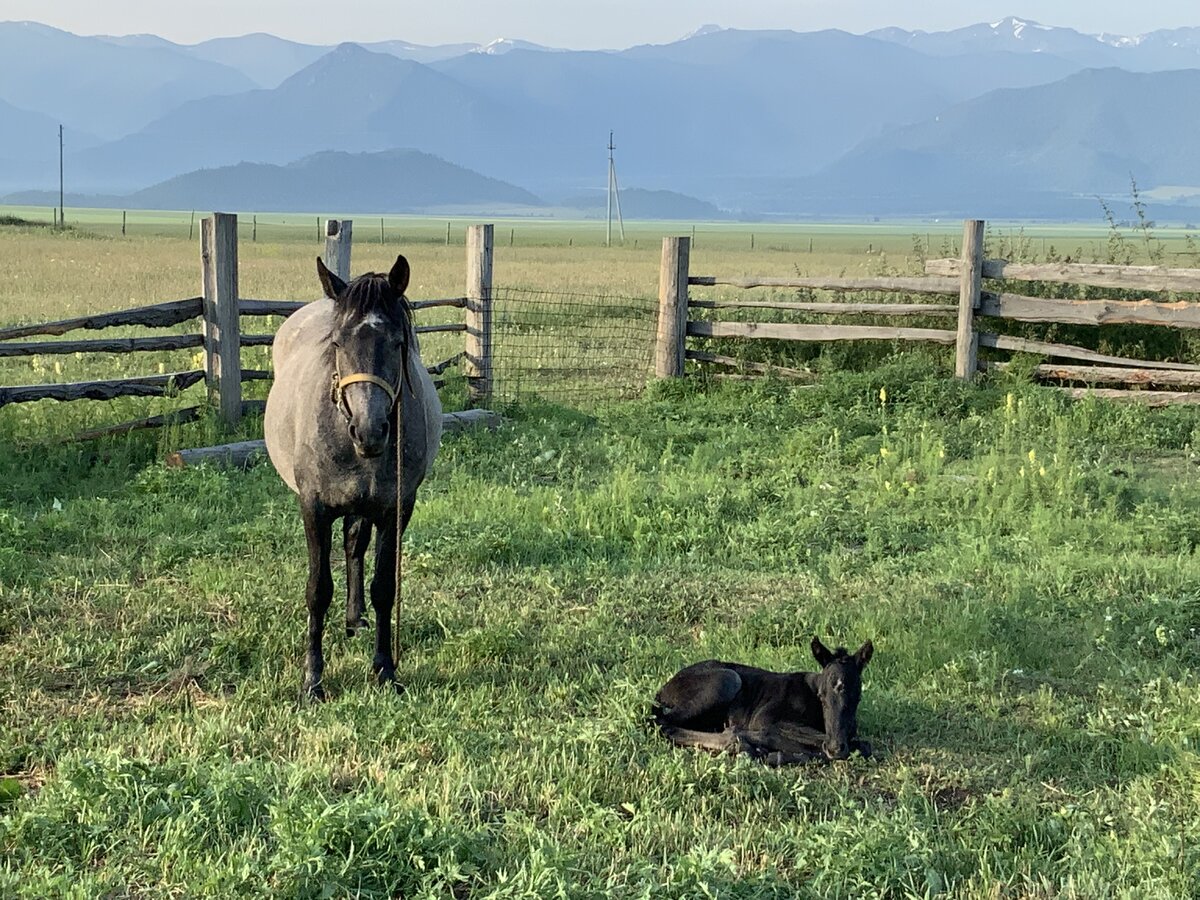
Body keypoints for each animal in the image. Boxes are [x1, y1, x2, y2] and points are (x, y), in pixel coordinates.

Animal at [265, 256, 444, 700]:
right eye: (336, 344)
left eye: (398, 343)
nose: (370, 431)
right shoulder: (314, 508)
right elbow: (317, 591)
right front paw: (313, 680)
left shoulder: (395, 509)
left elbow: (383, 588)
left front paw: (384, 669)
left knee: (353, 547)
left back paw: (355, 617)